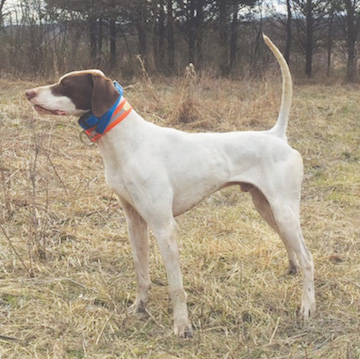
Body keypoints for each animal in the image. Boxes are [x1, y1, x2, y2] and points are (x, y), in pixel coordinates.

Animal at [25, 35, 316, 338]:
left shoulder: (164, 227)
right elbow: (142, 273)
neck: (127, 143)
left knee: (308, 258)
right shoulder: (134, 222)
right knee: (293, 247)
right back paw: (293, 270)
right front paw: (140, 307)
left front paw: (182, 326)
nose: (28, 93)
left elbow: (176, 287)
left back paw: (307, 307)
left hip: (283, 211)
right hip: (267, 208)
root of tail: (277, 135)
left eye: (65, 85)